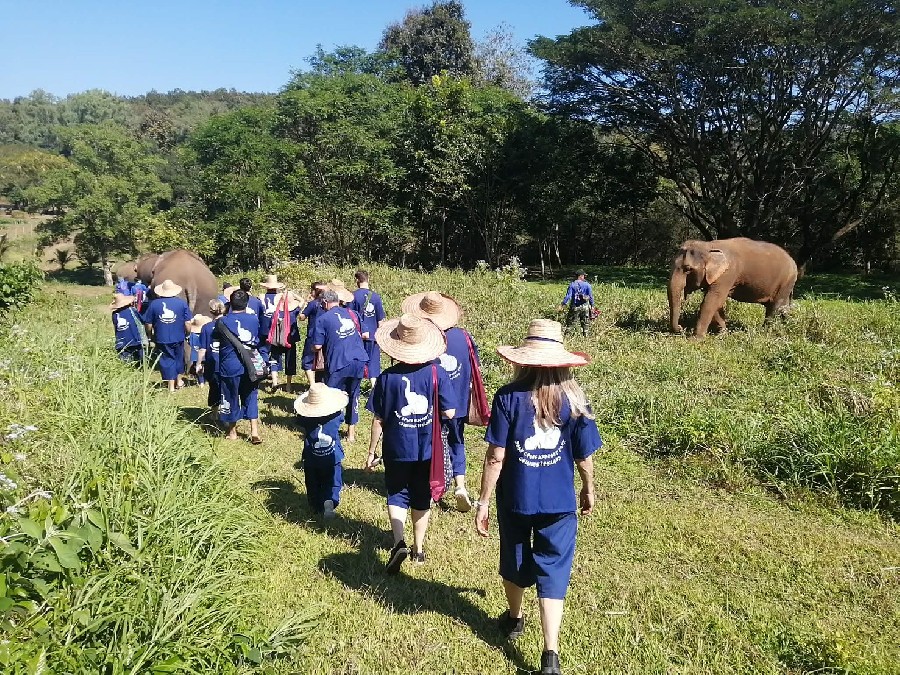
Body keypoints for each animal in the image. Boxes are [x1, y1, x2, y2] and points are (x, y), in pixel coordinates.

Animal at [668, 238, 798, 338]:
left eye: (688, 269)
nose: (681, 328)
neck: (709, 245)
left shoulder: (728, 274)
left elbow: (711, 301)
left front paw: (695, 339)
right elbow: (716, 304)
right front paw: (723, 334)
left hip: (785, 282)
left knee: (774, 307)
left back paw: (764, 332)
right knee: (783, 308)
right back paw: (788, 326)